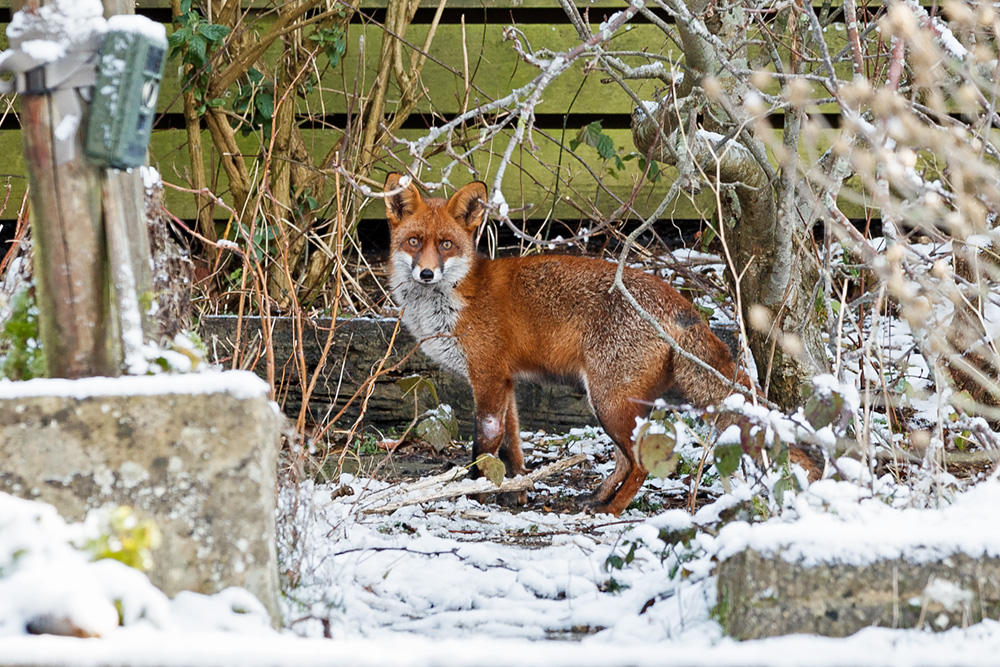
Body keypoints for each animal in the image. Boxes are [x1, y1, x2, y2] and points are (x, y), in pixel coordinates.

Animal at [384, 173, 781, 515]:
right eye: (414, 242)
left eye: (446, 245)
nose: (426, 273)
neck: (455, 299)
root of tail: (680, 301)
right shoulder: (506, 382)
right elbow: (512, 446)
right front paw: (516, 491)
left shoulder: (488, 377)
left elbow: (484, 445)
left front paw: (470, 491)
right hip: (615, 402)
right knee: (624, 459)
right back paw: (599, 496)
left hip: (607, 400)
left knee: (639, 463)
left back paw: (613, 509)